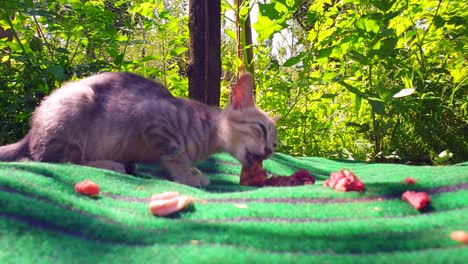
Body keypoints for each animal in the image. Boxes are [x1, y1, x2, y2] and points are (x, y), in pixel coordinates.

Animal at [0, 71, 278, 186]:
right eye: (261, 129)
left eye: (275, 145)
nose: (268, 151)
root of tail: (31, 132)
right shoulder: (152, 118)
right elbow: (176, 154)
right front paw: (188, 175)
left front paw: (192, 170)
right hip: (76, 105)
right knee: (54, 159)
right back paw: (111, 165)